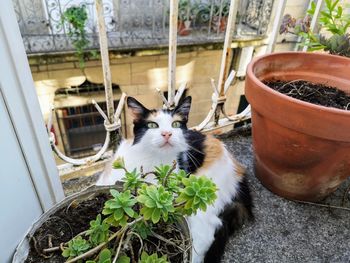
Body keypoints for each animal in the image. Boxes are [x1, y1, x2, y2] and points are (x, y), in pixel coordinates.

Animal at [97, 96, 253, 263]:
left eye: (175, 124)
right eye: (152, 125)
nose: (167, 133)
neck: (152, 162)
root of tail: (238, 169)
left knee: (207, 231)